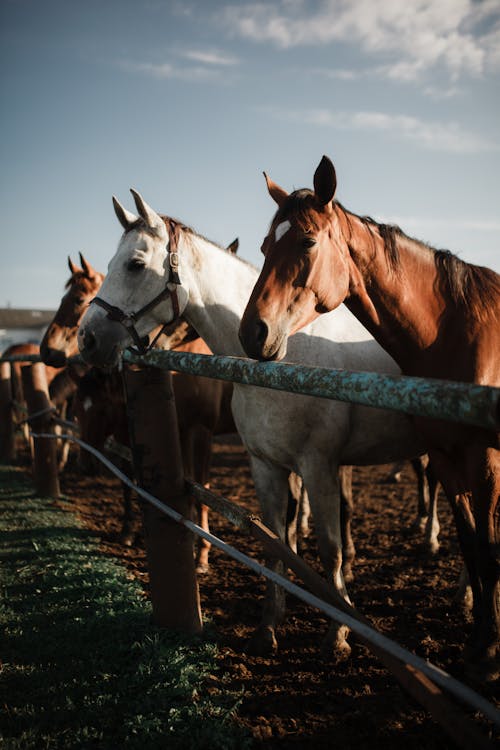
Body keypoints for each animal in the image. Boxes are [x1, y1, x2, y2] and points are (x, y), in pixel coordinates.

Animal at [77, 189, 434, 656]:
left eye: (135, 264)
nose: (87, 339)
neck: (280, 360)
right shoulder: (265, 466)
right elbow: (278, 544)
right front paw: (269, 627)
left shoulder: (318, 465)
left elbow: (331, 548)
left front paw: (337, 635)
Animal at [238, 156, 500, 684]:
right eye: (263, 247)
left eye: (307, 241)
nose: (252, 333)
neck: (455, 332)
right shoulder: (446, 459)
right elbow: (471, 545)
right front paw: (479, 642)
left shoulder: (484, 461)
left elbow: (486, 550)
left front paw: (488, 653)